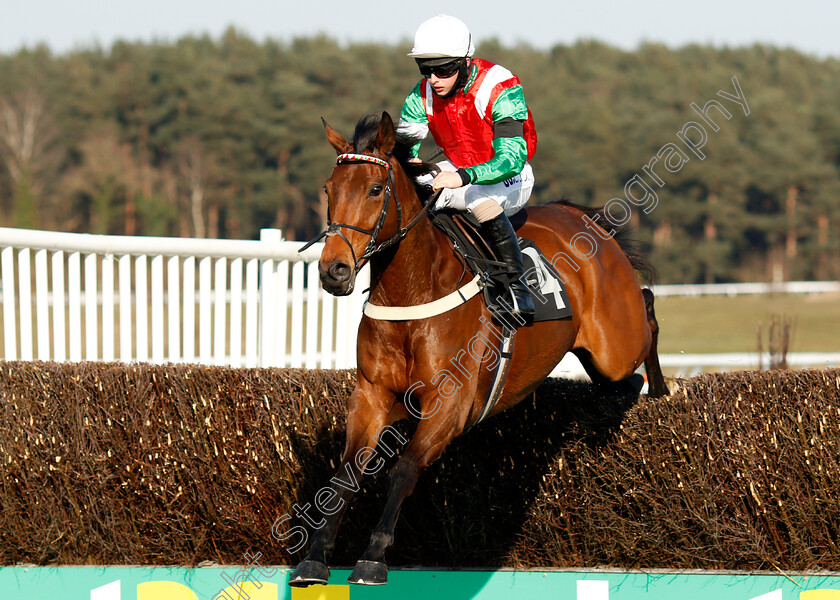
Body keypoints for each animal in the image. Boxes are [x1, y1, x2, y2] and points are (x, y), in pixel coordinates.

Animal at [288, 111, 668, 584]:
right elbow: (346, 474)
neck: (411, 295)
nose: (334, 271)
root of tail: (581, 217)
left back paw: (659, 387)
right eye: (329, 189)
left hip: (617, 343)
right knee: (617, 375)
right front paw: (314, 557)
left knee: (646, 314)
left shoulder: (449, 405)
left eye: (375, 189)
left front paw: (373, 556)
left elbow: (404, 469)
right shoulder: (372, 394)